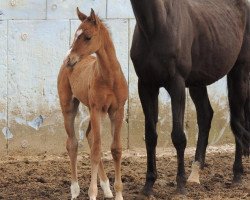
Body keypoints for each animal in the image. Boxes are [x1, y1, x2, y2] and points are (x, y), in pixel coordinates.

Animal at [57, 8, 128, 200]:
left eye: (87, 37)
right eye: (76, 34)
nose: (69, 59)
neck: (109, 78)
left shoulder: (117, 110)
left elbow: (116, 149)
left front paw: (118, 193)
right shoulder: (97, 109)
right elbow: (96, 151)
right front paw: (92, 193)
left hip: (95, 110)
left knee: (90, 136)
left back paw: (107, 188)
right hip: (69, 106)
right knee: (72, 143)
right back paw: (75, 189)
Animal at [131, 0, 250, 197]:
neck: (157, 25)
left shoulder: (177, 84)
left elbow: (179, 136)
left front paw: (180, 186)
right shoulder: (146, 86)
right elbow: (150, 136)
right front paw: (148, 186)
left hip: (239, 71)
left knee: (238, 121)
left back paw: (237, 175)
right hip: (197, 82)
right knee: (206, 115)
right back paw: (195, 174)